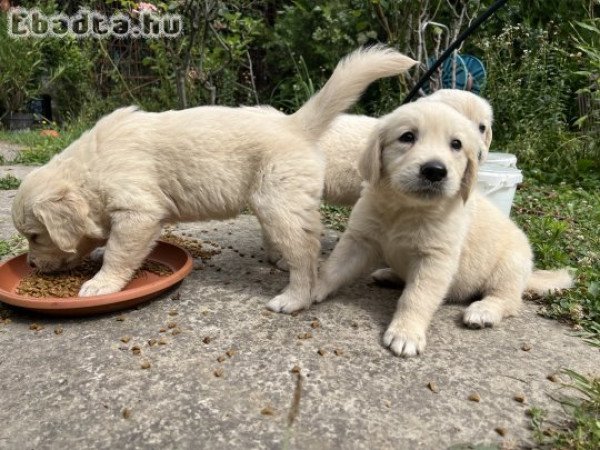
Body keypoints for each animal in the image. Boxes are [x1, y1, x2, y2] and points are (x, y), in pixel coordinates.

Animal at [12, 46, 418, 312]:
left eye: (36, 236)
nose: (30, 265)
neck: (91, 167)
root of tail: (294, 124)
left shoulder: (138, 212)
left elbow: (119, 251)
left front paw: (101, 283)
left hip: (279, 202)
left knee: (305, 252)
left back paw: (294, 298)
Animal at [310, 100, 572, 356]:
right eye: (407, 137)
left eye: (456, 144)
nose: (434, 170)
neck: (405, 209)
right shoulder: (359, 239)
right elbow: (333, 268)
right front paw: (311, 289)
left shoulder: (435, 260)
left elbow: (416, 297)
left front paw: (406, 333)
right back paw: (389, 274)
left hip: (510, 266)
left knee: (507, 300)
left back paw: (483, 311)